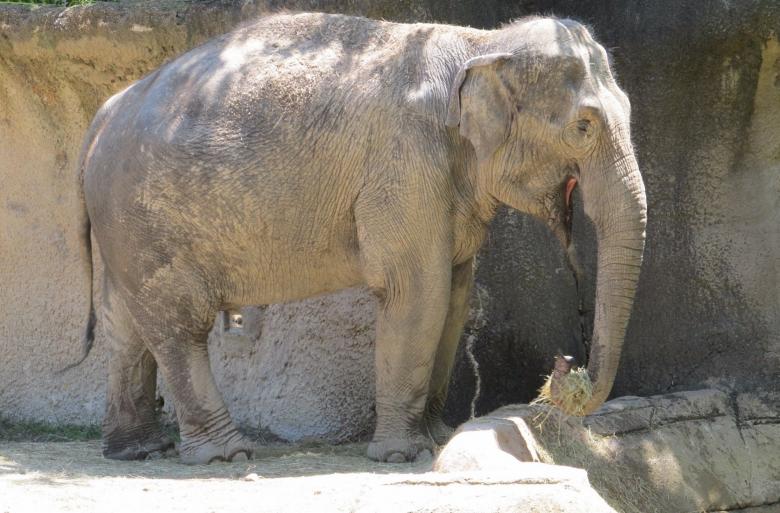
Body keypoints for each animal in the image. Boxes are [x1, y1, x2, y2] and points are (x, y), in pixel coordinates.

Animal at [72, 12, 646, 464]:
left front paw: (437, 437)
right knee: (176, 323)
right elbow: (418, 290)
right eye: (584, 127)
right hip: (146, 218)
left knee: (126, 324)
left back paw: (138, 451)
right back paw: (223, 455)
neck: (480, 43)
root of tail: (101, 116)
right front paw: (402, 455)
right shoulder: (403, 165)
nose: (564, 367)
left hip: (124, 226)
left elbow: (455, 293)